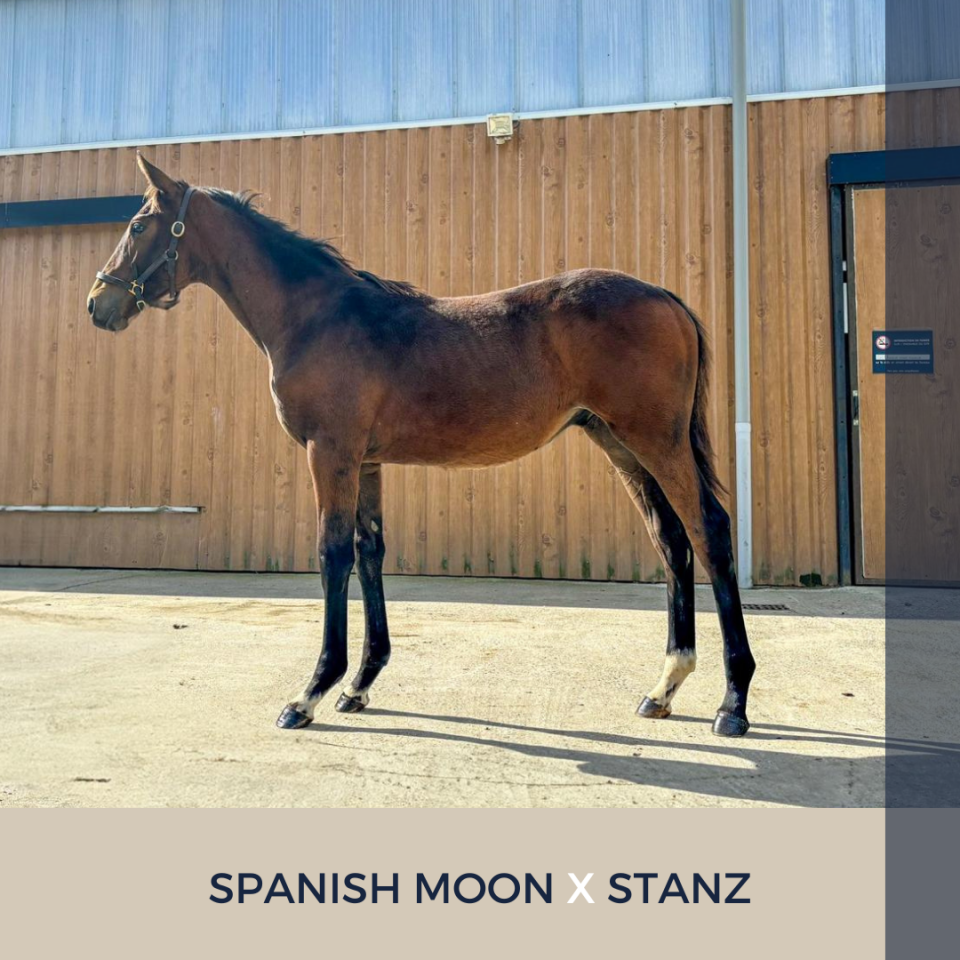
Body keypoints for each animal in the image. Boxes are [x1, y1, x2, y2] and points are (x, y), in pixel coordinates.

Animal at [87, 153, 756, 738]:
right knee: (671, 542)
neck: (318, 317)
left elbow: (333, 556)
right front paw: (359, 685)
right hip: (621, 446)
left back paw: (733, 704)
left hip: (656, 441)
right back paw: (663, 688)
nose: (98, 304)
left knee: (708, 532)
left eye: (138, 224)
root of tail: (666, 297)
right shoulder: (367, 461)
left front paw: (310, 693)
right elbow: (370, 553)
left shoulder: (330, 453)